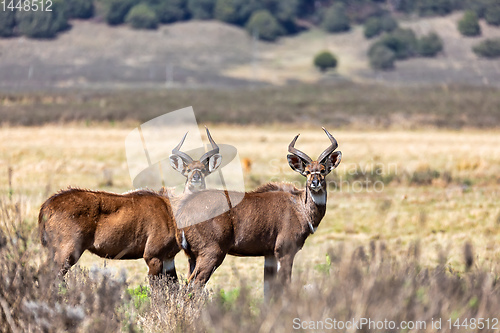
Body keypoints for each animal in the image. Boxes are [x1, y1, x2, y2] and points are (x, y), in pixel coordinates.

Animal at [40, 127, 224, 278]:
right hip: (67, 252)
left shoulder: (168, 259)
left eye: (204, 170)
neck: (172, 210)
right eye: (187, 170)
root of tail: (48, 206)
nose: (196, 178)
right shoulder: (153, 256)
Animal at [174, 127, 342, 296]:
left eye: (322, 170)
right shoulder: (285, 252)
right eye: (307, 171)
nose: (315, 182)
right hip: (212, 254)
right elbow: (285, 285)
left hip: (193, 257)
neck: (299, 206)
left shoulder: (269, 255)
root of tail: (184, 210)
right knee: (193, 286)